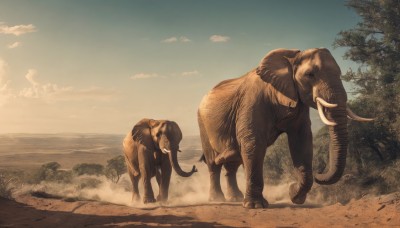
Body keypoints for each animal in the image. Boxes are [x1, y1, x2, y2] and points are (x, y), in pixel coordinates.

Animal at [198, 48, 374, 208]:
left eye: (339, 73)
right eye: (310, 74)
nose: (319, 173)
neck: (291, 57)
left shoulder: (298, 101)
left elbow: (301, 141)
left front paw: (294, 195)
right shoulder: (252, 102)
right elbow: (254, 144)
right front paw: (256, 206)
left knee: (232, 163)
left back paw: (235, 198)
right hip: (202, 124)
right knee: (213, 164)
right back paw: (217, 199)